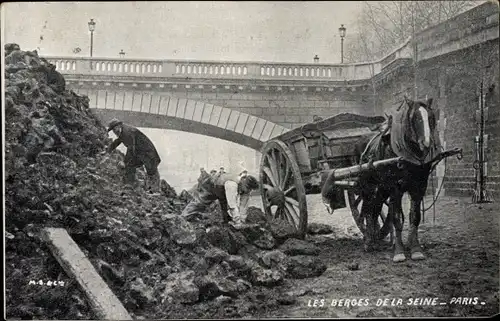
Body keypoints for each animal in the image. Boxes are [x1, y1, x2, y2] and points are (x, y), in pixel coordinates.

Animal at [354, 96, 440, 262]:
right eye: (415, 118)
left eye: (431, 117)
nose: (426, 143)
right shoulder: (395, 188)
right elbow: (396, 218)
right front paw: (399, 252)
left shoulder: (419, 187)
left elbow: (415, 217)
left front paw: (415, 249)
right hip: (368, 187)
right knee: (367, 209)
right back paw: (368, 241)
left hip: (381, 189)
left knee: (375, 209)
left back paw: (376, 238)